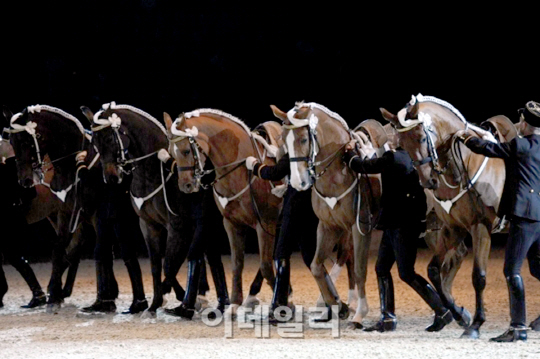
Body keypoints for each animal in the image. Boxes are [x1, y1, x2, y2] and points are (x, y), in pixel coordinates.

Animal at [7, 103, 146, 312]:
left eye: (26, 141)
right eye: (12, 142)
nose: (25, 180)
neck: (72, 165)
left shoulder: (97, 214)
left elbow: (100, 251)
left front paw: (104, 299)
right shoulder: (65, 213)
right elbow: (58, 249)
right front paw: (54, 295)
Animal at [163, 107, 284, 316]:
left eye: (186, 150)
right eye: (172, 152)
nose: (186, 185)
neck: (241, 169)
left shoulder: (264, 224)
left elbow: (266, 265)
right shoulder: (232, 224)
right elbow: (237, 263)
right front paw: (235, 304)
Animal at [270, 102, 384, 330]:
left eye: (304, 139)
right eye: (284, 140)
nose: (298, 182)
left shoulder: (360, 228)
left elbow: (360, 269)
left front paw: (360, 314)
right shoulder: (328, 226)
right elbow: (316, 266)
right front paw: (336, 303)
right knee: (344, 258)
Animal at [380, 93, 510, 340]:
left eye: (422, 137)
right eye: (402, 144)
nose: (428, 181)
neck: (461, 167)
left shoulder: (480, 227)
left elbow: (478, 276)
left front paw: (475, 324)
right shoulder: (452, 229)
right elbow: (434, 271)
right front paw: (459, 314)